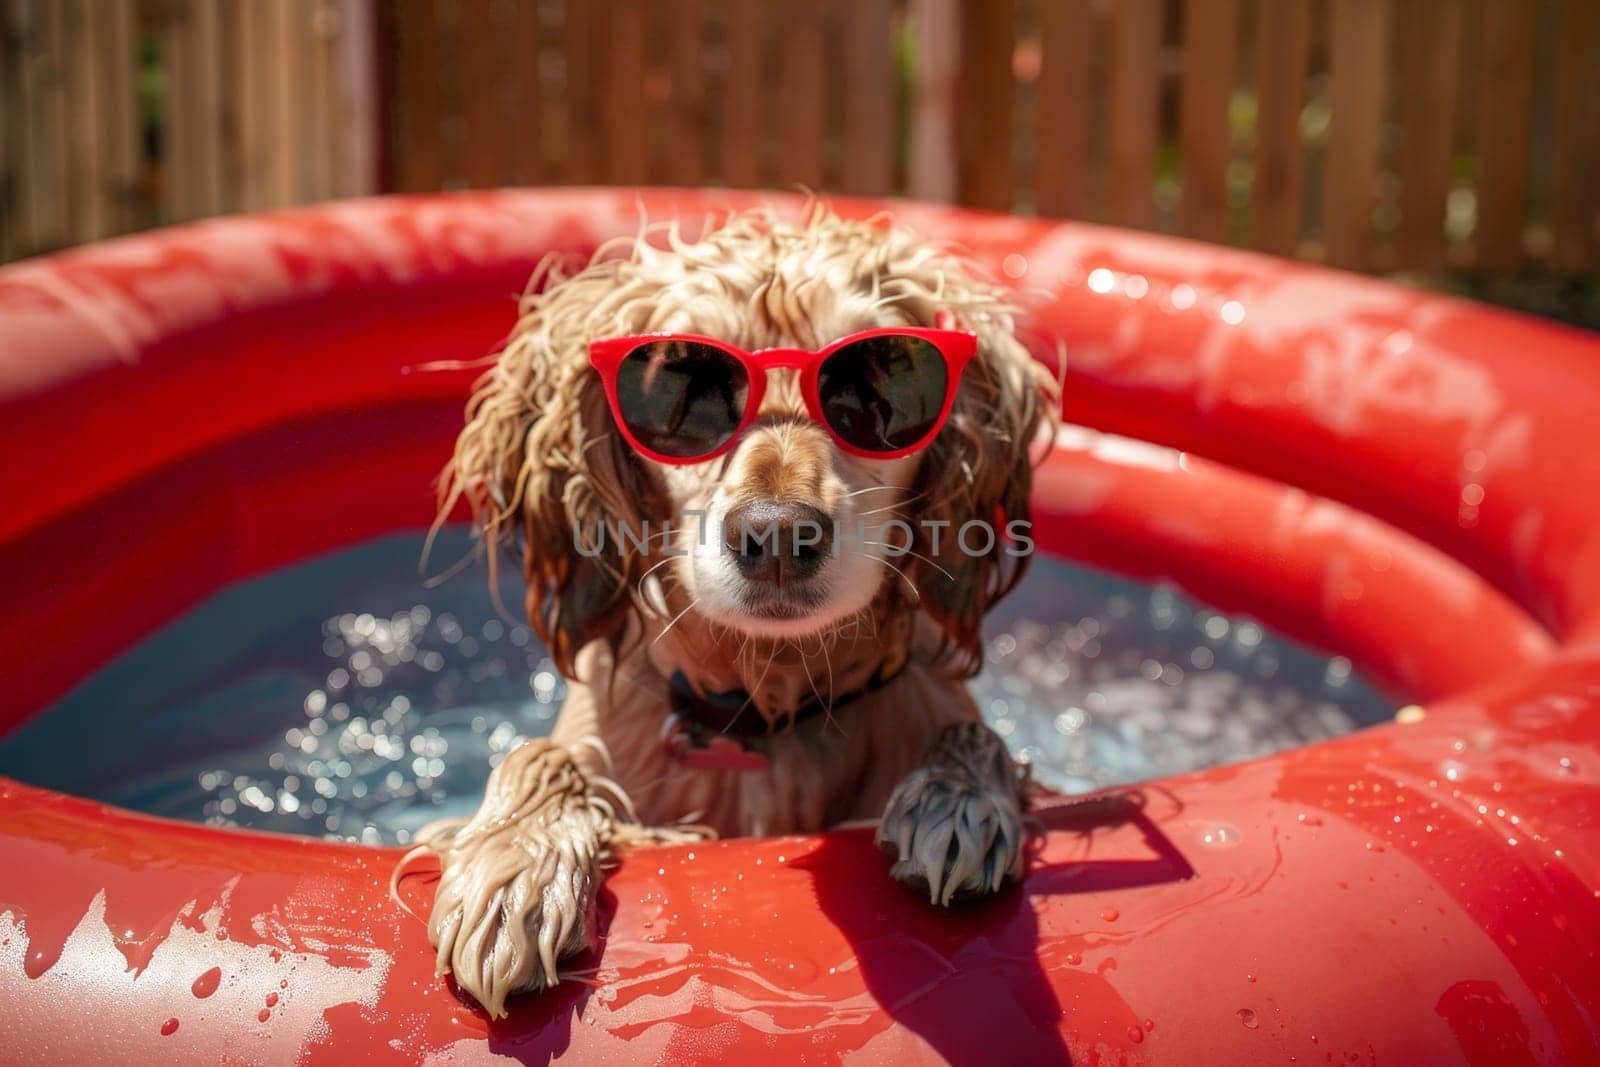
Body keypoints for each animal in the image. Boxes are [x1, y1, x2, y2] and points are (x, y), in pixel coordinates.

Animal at [419, 206, 1056, 1017]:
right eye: (681, 380)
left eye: (881, 377)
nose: (778, 535)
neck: (767, 701)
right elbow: (543, 754)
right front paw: (515, 864)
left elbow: (975, 731)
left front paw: (958, 802)